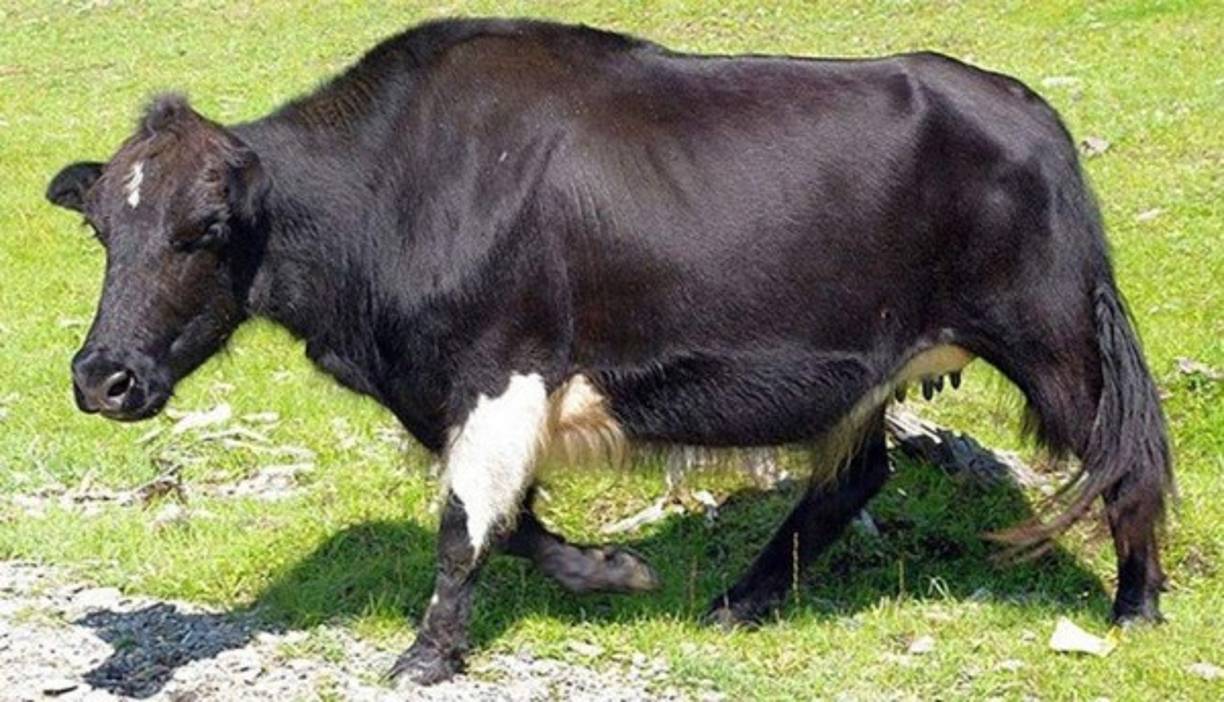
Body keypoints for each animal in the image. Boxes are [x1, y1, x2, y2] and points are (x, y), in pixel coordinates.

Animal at [45, 17, 1172, 685]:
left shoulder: (501, 365)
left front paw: (427, 654)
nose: (103, 378)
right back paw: (737, 602)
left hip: (1053, 336)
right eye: (102, 227)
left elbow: (463, 526)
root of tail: (1029, 110)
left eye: (204, 229)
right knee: (850, 480)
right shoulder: (465, 392)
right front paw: (615, 570)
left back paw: (1137, 607)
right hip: (873, 373)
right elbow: (512, 521)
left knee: (1128, 462)